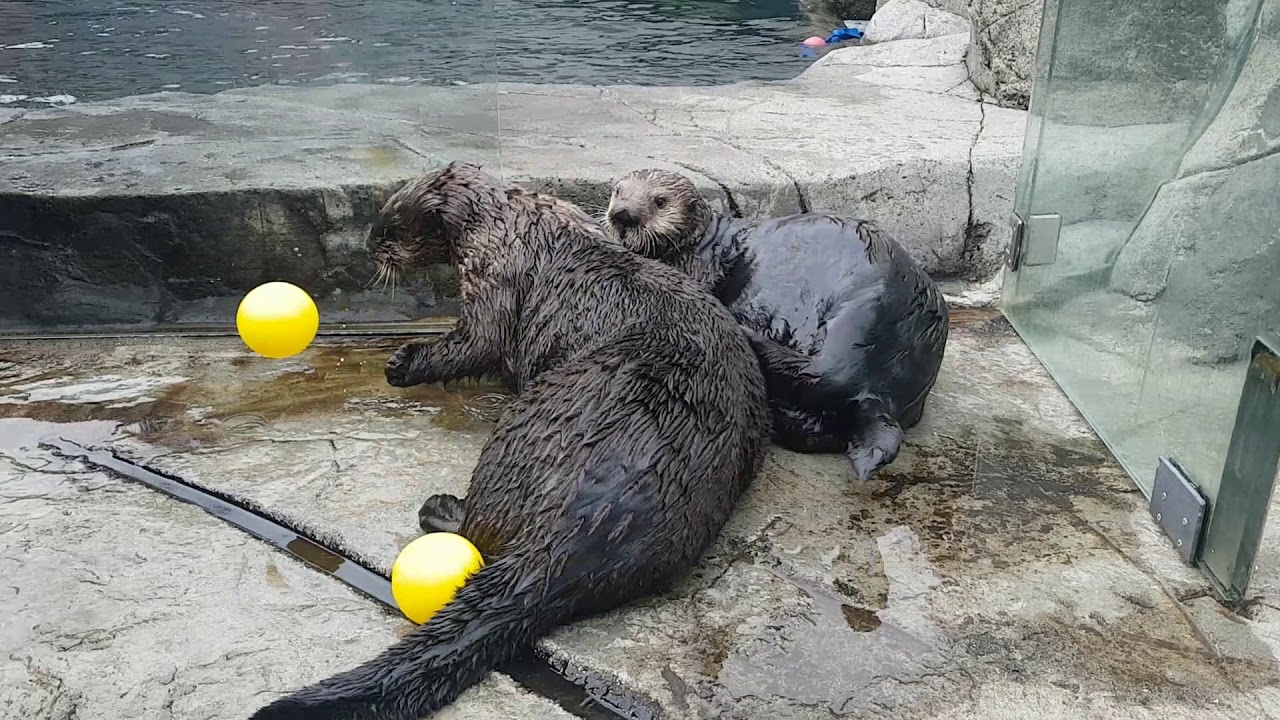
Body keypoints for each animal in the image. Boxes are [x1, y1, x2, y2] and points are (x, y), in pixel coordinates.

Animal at [250, 162, 770, 720]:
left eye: (390, 226)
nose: (372, 248)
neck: (510, 219)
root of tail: (589, 522)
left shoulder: (491, 273)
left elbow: (478, 340)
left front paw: (403, 363)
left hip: (525, 428)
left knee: (478, 532)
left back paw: (441, 508)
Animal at [604, 168, 948, 481]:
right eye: (618, 191)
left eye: (659, 201)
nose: (622, 214)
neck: (704, 243)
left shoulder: (698, 268)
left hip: (858, 305)